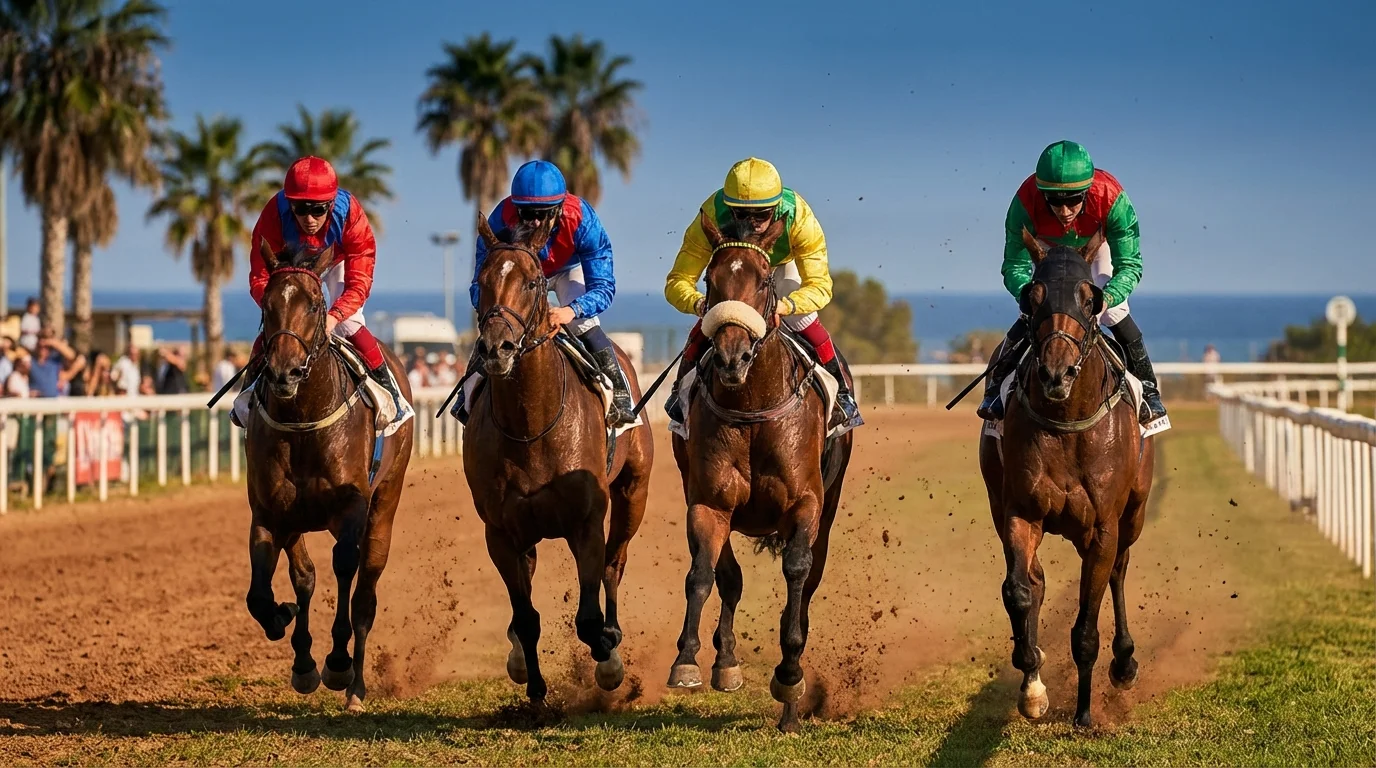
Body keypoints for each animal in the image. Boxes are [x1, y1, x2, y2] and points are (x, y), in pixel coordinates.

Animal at [243, 241, 414, 712]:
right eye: (266, 305)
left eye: (316, 304)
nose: (284, 372)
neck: (304, 418)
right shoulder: (271, 513)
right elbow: (266, 590)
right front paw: (288, 632)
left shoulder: (351, 508)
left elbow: (344, 567)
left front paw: (337, 661)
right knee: (306, 577)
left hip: (385, 503)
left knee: (365, 593)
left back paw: (356, 686)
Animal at [463, 212, 653, 702]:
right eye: (481, 280)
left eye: (532, 282)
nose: (496, 348)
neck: (532, 425)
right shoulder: (499, 532)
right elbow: (527, 616)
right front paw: (533, 687)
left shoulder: (586, 522)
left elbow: (588, 618)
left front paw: (608, 660)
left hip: (633, 492)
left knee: (614, 563)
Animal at [665, 212, 854, 732]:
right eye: (711, 280)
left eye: (765, 279)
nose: (732, 357)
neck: (752, 407)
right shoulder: (708, 502)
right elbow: (704, 574)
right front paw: (689, 660)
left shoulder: (806, 504)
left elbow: (796, 575)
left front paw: (789, 676)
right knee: (729, 576)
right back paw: (725, 661)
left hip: (829, 510)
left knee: (806, 588)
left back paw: (791, 707)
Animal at [979, 228, 1154, 728]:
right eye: (1032, 296)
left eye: (1089, 298)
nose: (1056, 372)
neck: (1065, 421)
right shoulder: (1020, 513)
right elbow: (1019, 591)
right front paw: (1032, 687)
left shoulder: (1102, 529)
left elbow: (1085, 629)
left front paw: (1084, 714)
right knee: (1033, 582)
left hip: (1133, 514)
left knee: (1119, 570)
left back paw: (1124, 662)